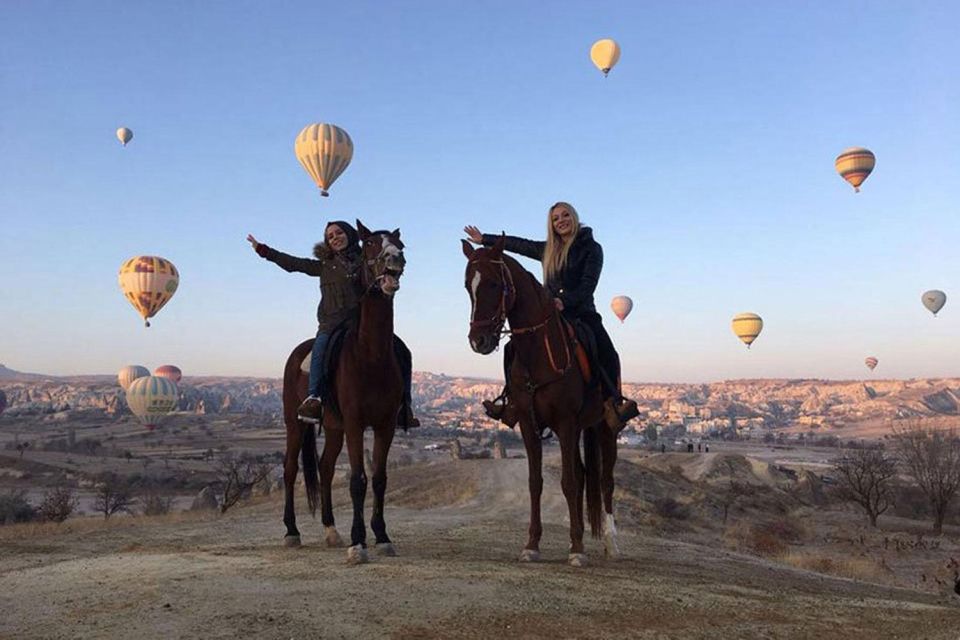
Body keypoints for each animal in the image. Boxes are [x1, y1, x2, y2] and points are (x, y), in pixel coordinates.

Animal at [284, 222, 406, 564]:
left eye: (401, 244)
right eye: (370, 244)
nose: (395, 259)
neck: (371, 355)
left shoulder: (385, 425)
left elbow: (379, 479)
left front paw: (382, 537)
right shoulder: (354, 423)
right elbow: (357, 481)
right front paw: (358, 543)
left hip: (334, 427)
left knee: (325, 468)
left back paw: (330, 530)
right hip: (295, 423)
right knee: (290, 470)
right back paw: (292, 532)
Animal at [464, 236, 624, 564]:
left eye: (494, 284)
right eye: (467, 286)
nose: (478, 341)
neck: (538, 351)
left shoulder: (564, 422)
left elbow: (569, 482)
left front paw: (577, 549)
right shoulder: (529, 423)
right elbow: (536, 482)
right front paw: (533, 544)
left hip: (603, 426)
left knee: (605, 480)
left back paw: (611, 542)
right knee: (583, 475)